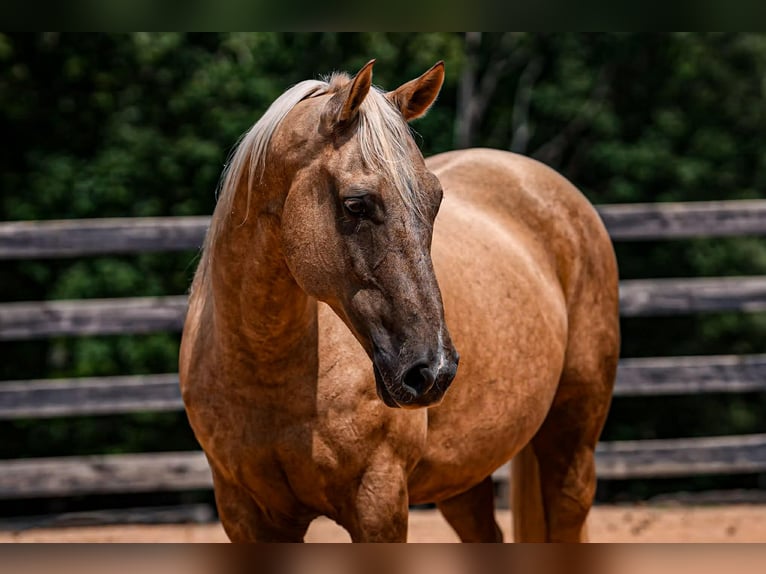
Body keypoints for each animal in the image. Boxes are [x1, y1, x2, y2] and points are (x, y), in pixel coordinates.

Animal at [179, 59, 620, 542]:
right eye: (355, 204)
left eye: (436, 200)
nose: (434, 370)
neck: (268, 371)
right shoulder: (245, 514)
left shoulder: (379, 501)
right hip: (461, 475)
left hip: (572, 440)